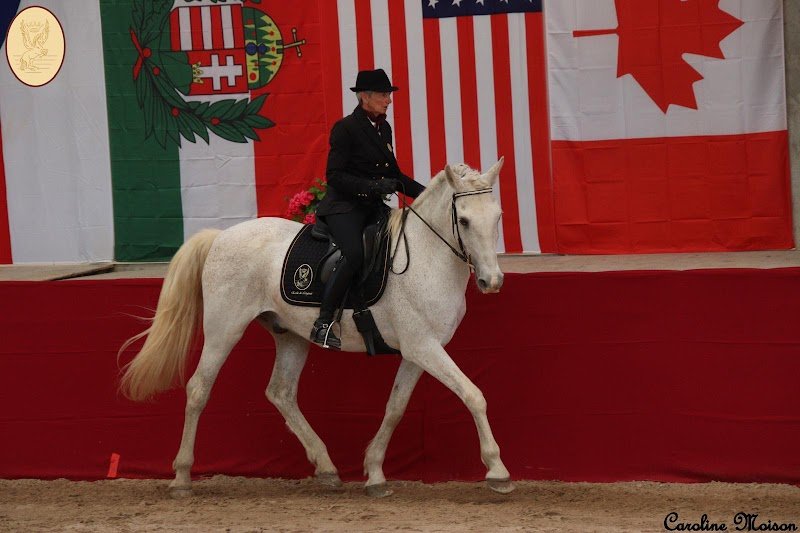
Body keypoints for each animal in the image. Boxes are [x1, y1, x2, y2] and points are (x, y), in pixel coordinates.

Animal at [119, 158, 513, 497]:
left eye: (497, 217)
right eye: (464, 221)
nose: (492, 281)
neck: (427, 257)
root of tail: (220, 236)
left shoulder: (420, 349)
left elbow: (396, 407)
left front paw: (374, 473)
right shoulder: (423, 346)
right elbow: (473, 395)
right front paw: (498, 471)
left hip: (290, 335)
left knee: (280, 391)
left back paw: (326, 467)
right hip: (223, 329)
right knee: (199, 388)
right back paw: (182, 477)